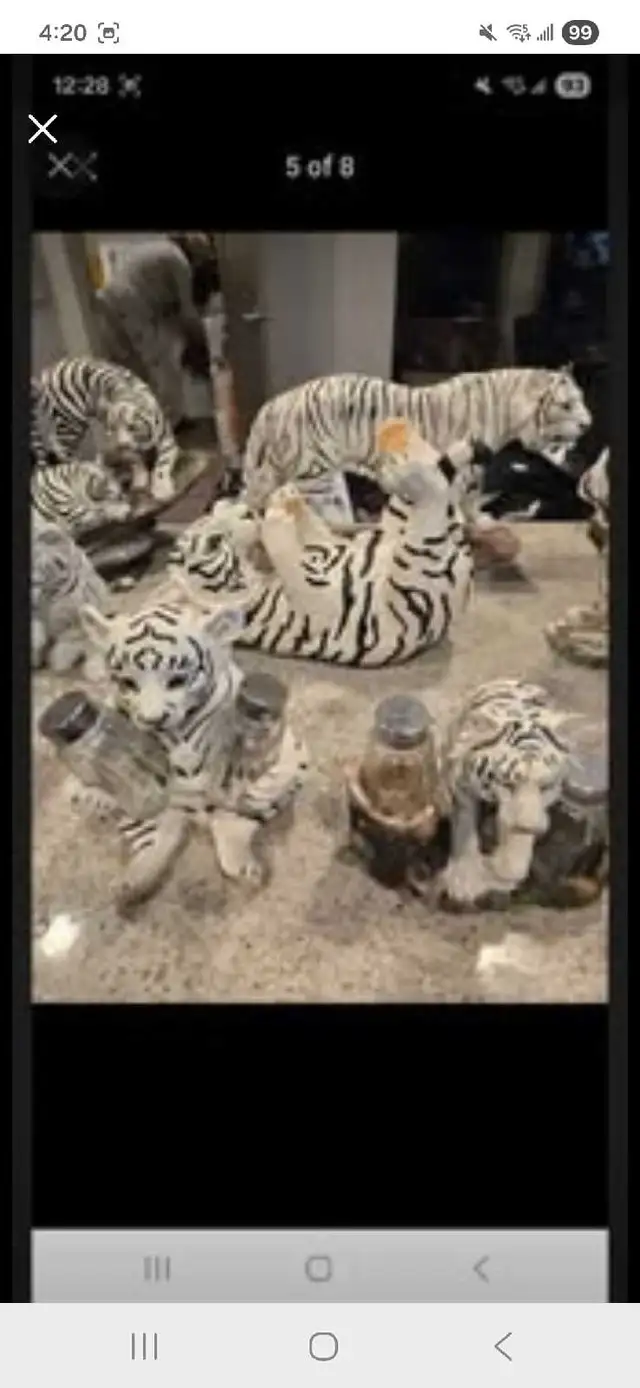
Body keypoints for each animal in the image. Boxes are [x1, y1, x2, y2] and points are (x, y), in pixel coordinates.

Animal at [31, 357, 180, 502]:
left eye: (132, 427)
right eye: (113, 429)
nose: (123, 445)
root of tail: (45, 375)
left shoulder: (165, 438)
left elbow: (161, 464)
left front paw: (161, 489)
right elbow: (134, 459)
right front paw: (140, 478)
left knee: (55, 441)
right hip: (72, 424)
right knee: (61, 448)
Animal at [73, 600, 308, 904]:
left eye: (177, 680)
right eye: (127, 683)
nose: (152, 719)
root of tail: (191, 812)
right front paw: (94, 786)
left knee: (233, 821)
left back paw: (241, 862)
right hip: (145, 809)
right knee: (157, 836)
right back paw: (134, 880)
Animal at [166, 421, 475, 668]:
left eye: (222, 509)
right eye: (213, 543)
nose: (248, 512)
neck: (259, 576)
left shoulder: (324, 546)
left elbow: (317, 531)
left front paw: (287, 497)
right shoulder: (315, 601)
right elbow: (286, 552)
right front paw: (276, 517)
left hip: (400, 523)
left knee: (432, 483)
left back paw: (424, 446)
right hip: (420, 569)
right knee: (433, 494)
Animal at [240, 367, 592, 519]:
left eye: (581, 400)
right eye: (567, 405)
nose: (589, 424)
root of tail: (275, 403)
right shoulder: (465, 470)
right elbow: (465, 504)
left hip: (279, 471)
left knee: (251, 499)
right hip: (319, 479)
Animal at [438, 678, 578, 907]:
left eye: (546, 786)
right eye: (508, 784)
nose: (533, 826)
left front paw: (500, 873)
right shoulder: (462, 783)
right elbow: (465, 826)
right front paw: (465, 881)